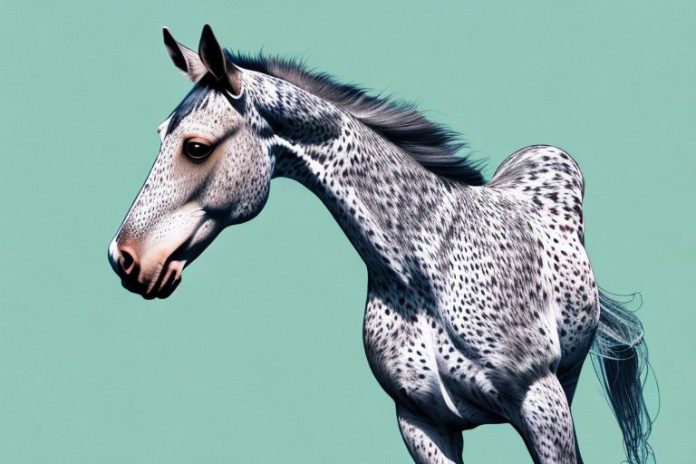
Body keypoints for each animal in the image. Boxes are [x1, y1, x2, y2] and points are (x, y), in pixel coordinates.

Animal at [108, 25, 654, 464]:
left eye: (196, 148)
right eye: (161, 133)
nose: (125, 260)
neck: (425, 269)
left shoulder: (541, 409)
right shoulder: (422, 424)